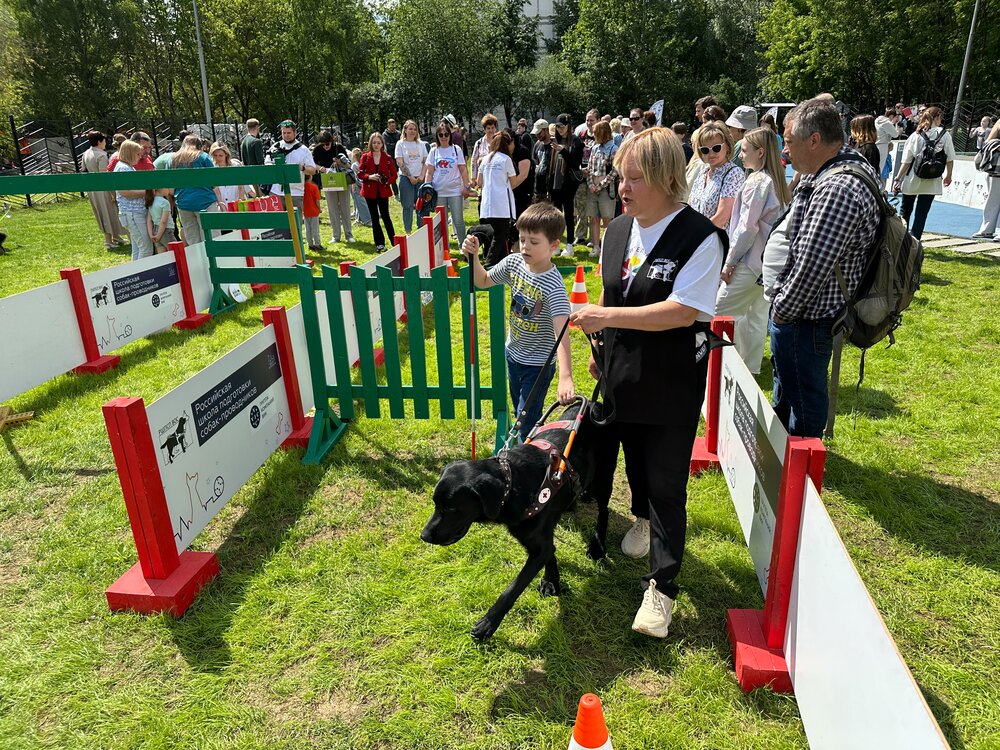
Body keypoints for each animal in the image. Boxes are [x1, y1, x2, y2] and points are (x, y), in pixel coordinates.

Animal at [416, 402, 604, 644]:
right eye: (435, 503)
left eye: (450, 508)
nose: (424, 536)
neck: (514, 484)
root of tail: (591, 403)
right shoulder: (542, 542)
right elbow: (551, 553)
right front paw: (552, 581)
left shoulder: (538, 547)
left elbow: (512, 589)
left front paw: (487, 624)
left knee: (604, 510)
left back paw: (598, 545)